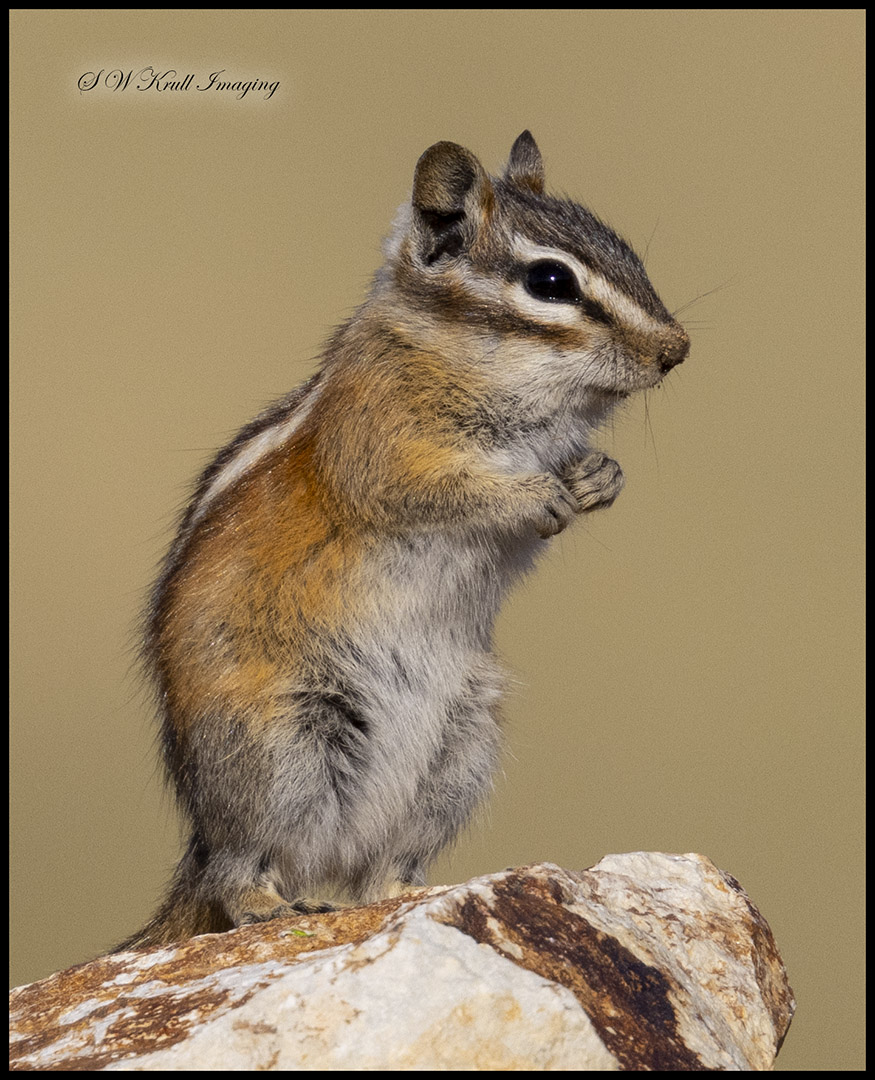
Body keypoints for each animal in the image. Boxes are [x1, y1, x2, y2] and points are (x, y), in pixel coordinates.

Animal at [113, 131, 689, 951]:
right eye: (550, 281)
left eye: (626, 251)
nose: (677, 349)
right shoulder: (382, 443)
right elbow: (431, 490)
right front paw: (536, 493)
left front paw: (598, 477)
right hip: (278, 747)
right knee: (236, 871)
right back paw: (267, 905)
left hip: (460, 751)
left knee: (375, 872)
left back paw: (400, 890)